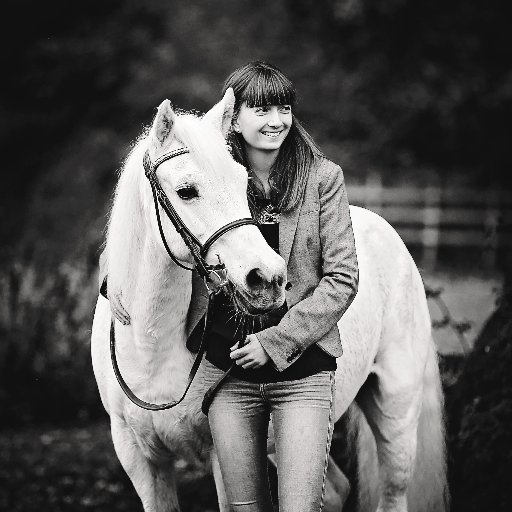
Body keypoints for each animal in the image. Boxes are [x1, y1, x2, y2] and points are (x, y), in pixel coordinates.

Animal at [92, 92, 448, 512]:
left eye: (241, 181)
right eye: (186, 191)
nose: (267, 277)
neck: (150, 345)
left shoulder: (222, 454)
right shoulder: (141, 459)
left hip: (396, 408)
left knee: (393, 490)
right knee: (336, 489)